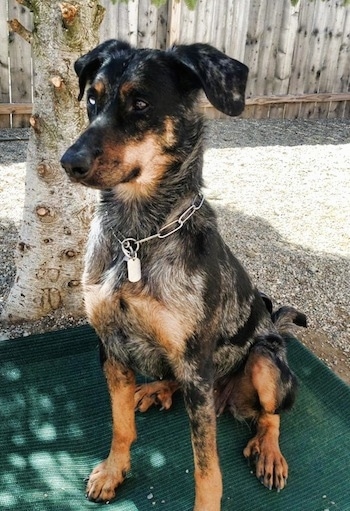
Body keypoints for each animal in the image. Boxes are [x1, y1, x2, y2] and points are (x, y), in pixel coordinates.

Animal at [60, 41, 306, 511]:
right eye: (93, 100)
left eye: (140, 104)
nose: (69, 162)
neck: (136, 236)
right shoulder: (111, 347)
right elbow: (120, 427)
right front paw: (114, 471)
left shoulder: (196, 365)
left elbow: (207, 469)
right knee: (172, 382)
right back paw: (154, 389)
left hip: (263, 362)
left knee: (270, 415)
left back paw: (268, 451)